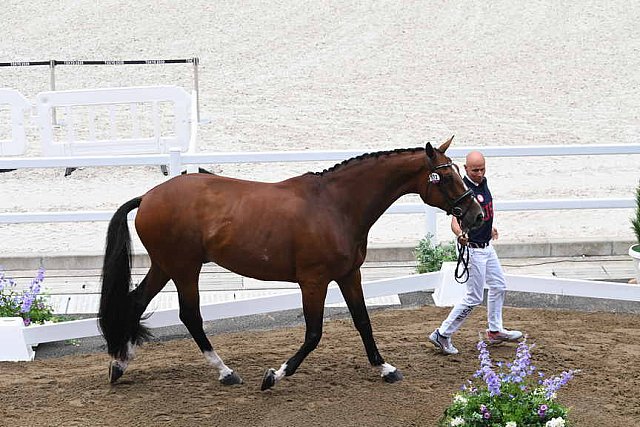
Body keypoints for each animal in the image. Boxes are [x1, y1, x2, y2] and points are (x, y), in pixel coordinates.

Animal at [99, 135, 480, 390]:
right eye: (446, 176)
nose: (475, 215)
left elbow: (363, 322)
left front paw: (386, 368)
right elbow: (313, 333)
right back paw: (225, 372)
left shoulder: (349, 275)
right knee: (189, 315)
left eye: (459, 172)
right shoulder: (314, 281)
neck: (335, 205)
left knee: (136, 302)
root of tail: (148, 197)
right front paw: (274, 375)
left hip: (165, 266)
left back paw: (120, 364)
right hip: (184, 269)